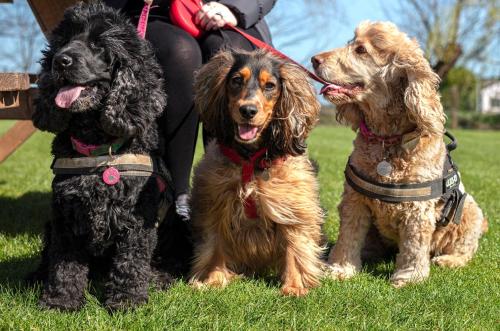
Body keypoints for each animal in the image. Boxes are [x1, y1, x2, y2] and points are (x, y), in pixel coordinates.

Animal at [31, 1, 174, 312]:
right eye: (63, 41)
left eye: (98, 44)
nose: (60, 60)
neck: (99, 150)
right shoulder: (66, 215)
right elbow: (64, 264)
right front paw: (61, 301)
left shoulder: (137, 218)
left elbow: (131, 262)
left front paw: (126, 301)